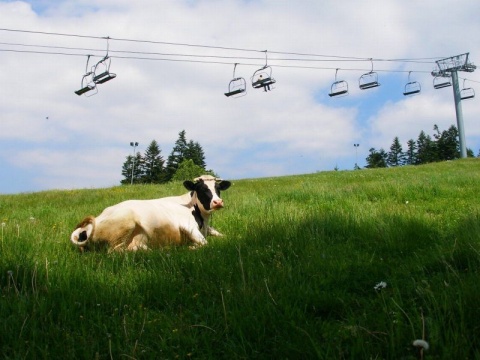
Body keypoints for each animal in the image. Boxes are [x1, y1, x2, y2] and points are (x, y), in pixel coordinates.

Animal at [69, 176, 231, 252]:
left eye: (217, 188)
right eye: (202, 189)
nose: (218, 202)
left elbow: (222, 235)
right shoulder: (186, 225)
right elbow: (205, 243)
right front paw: (190, 247)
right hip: (125, 223)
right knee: (115, 251)